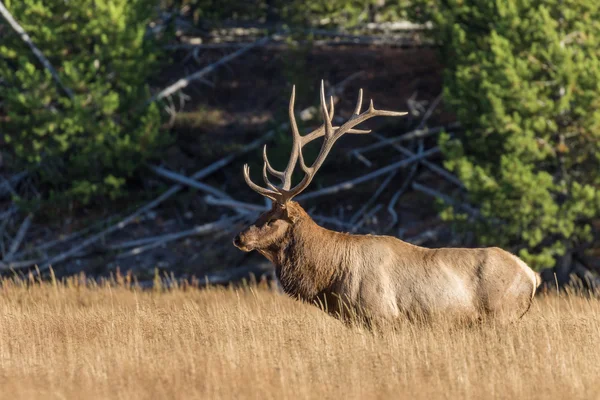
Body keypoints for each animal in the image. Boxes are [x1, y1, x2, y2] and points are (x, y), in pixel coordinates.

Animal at [233, 81, 540, 324]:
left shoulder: (382, 316)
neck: (331, 277)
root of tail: (532, 275)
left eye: (272, 219)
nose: (239, 237)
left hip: (501, 316)